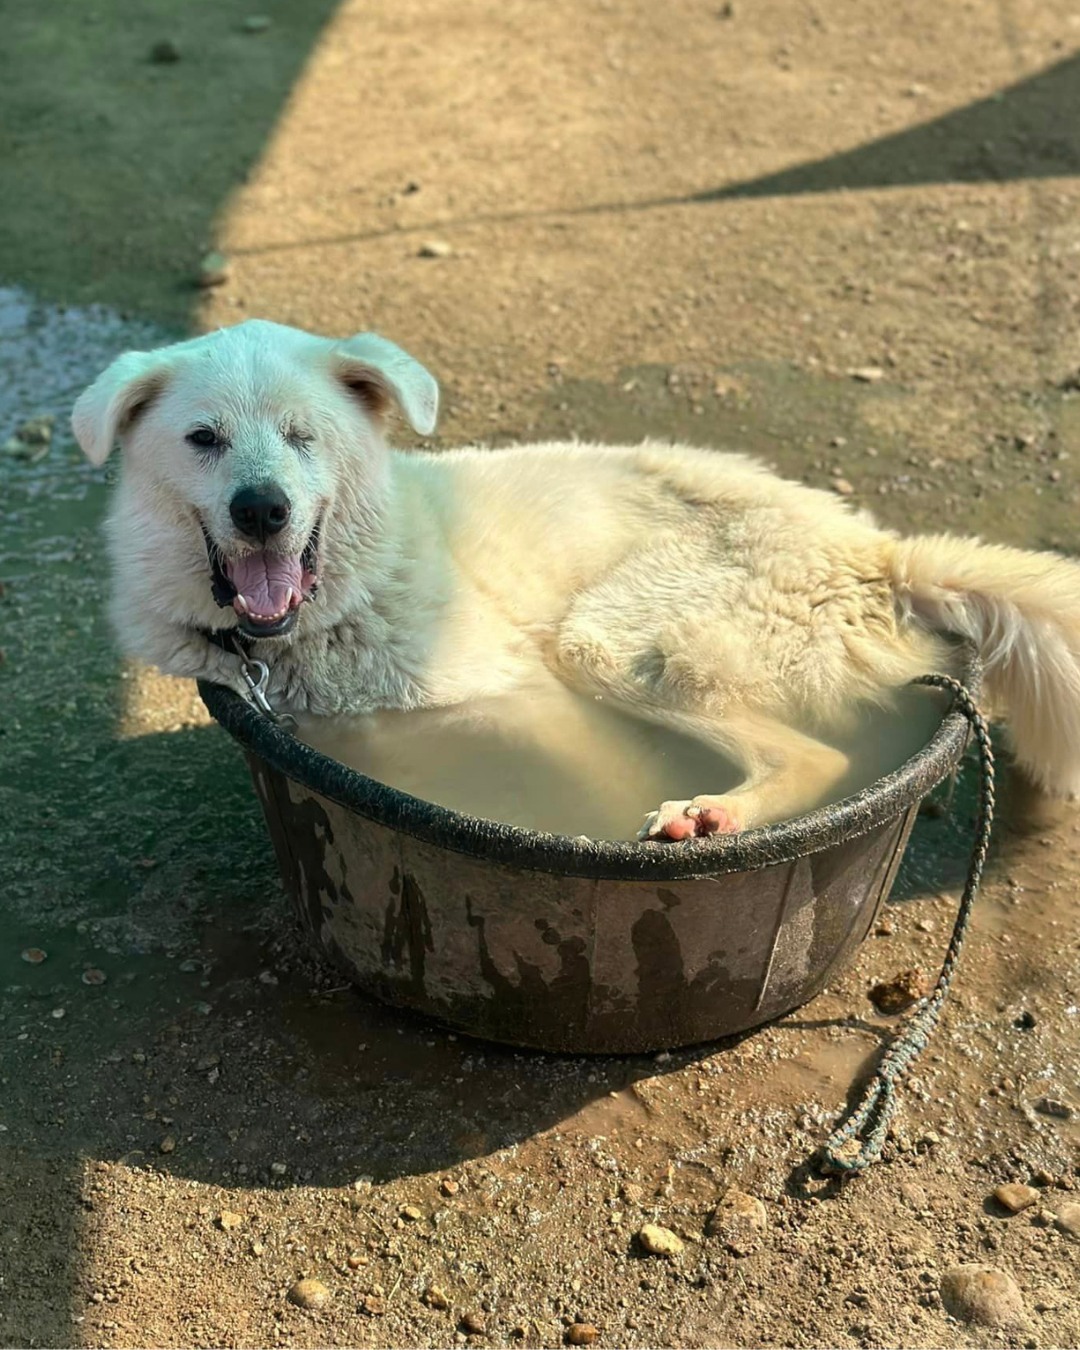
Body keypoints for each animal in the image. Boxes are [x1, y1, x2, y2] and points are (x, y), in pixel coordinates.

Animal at [71, 321, 1080, 837]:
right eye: (203, 438)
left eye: (301, 435)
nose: (262, 511)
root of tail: (878, 556)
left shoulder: (534, 696)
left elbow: (593, 784)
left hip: (613, 642)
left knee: (818, 760)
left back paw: (712, 814)